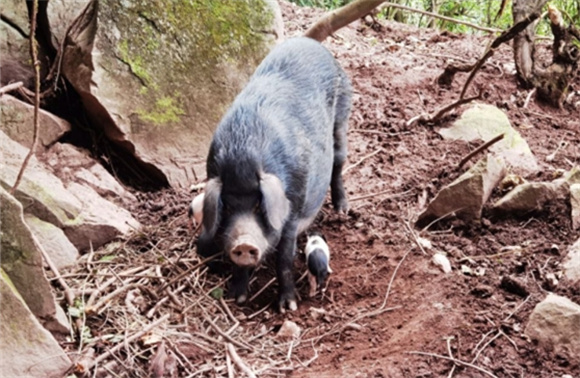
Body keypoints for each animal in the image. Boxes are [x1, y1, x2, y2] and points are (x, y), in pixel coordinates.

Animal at [197, 36, 352, 314]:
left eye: (260, 205)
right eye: (227, 206)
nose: (244, 243)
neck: (244, 150)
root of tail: (309, 41)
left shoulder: (293, 208)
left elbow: (284, 259)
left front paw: (288, 307)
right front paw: (238, 299)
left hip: (343, 115)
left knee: (338, 163)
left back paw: (342, 209)